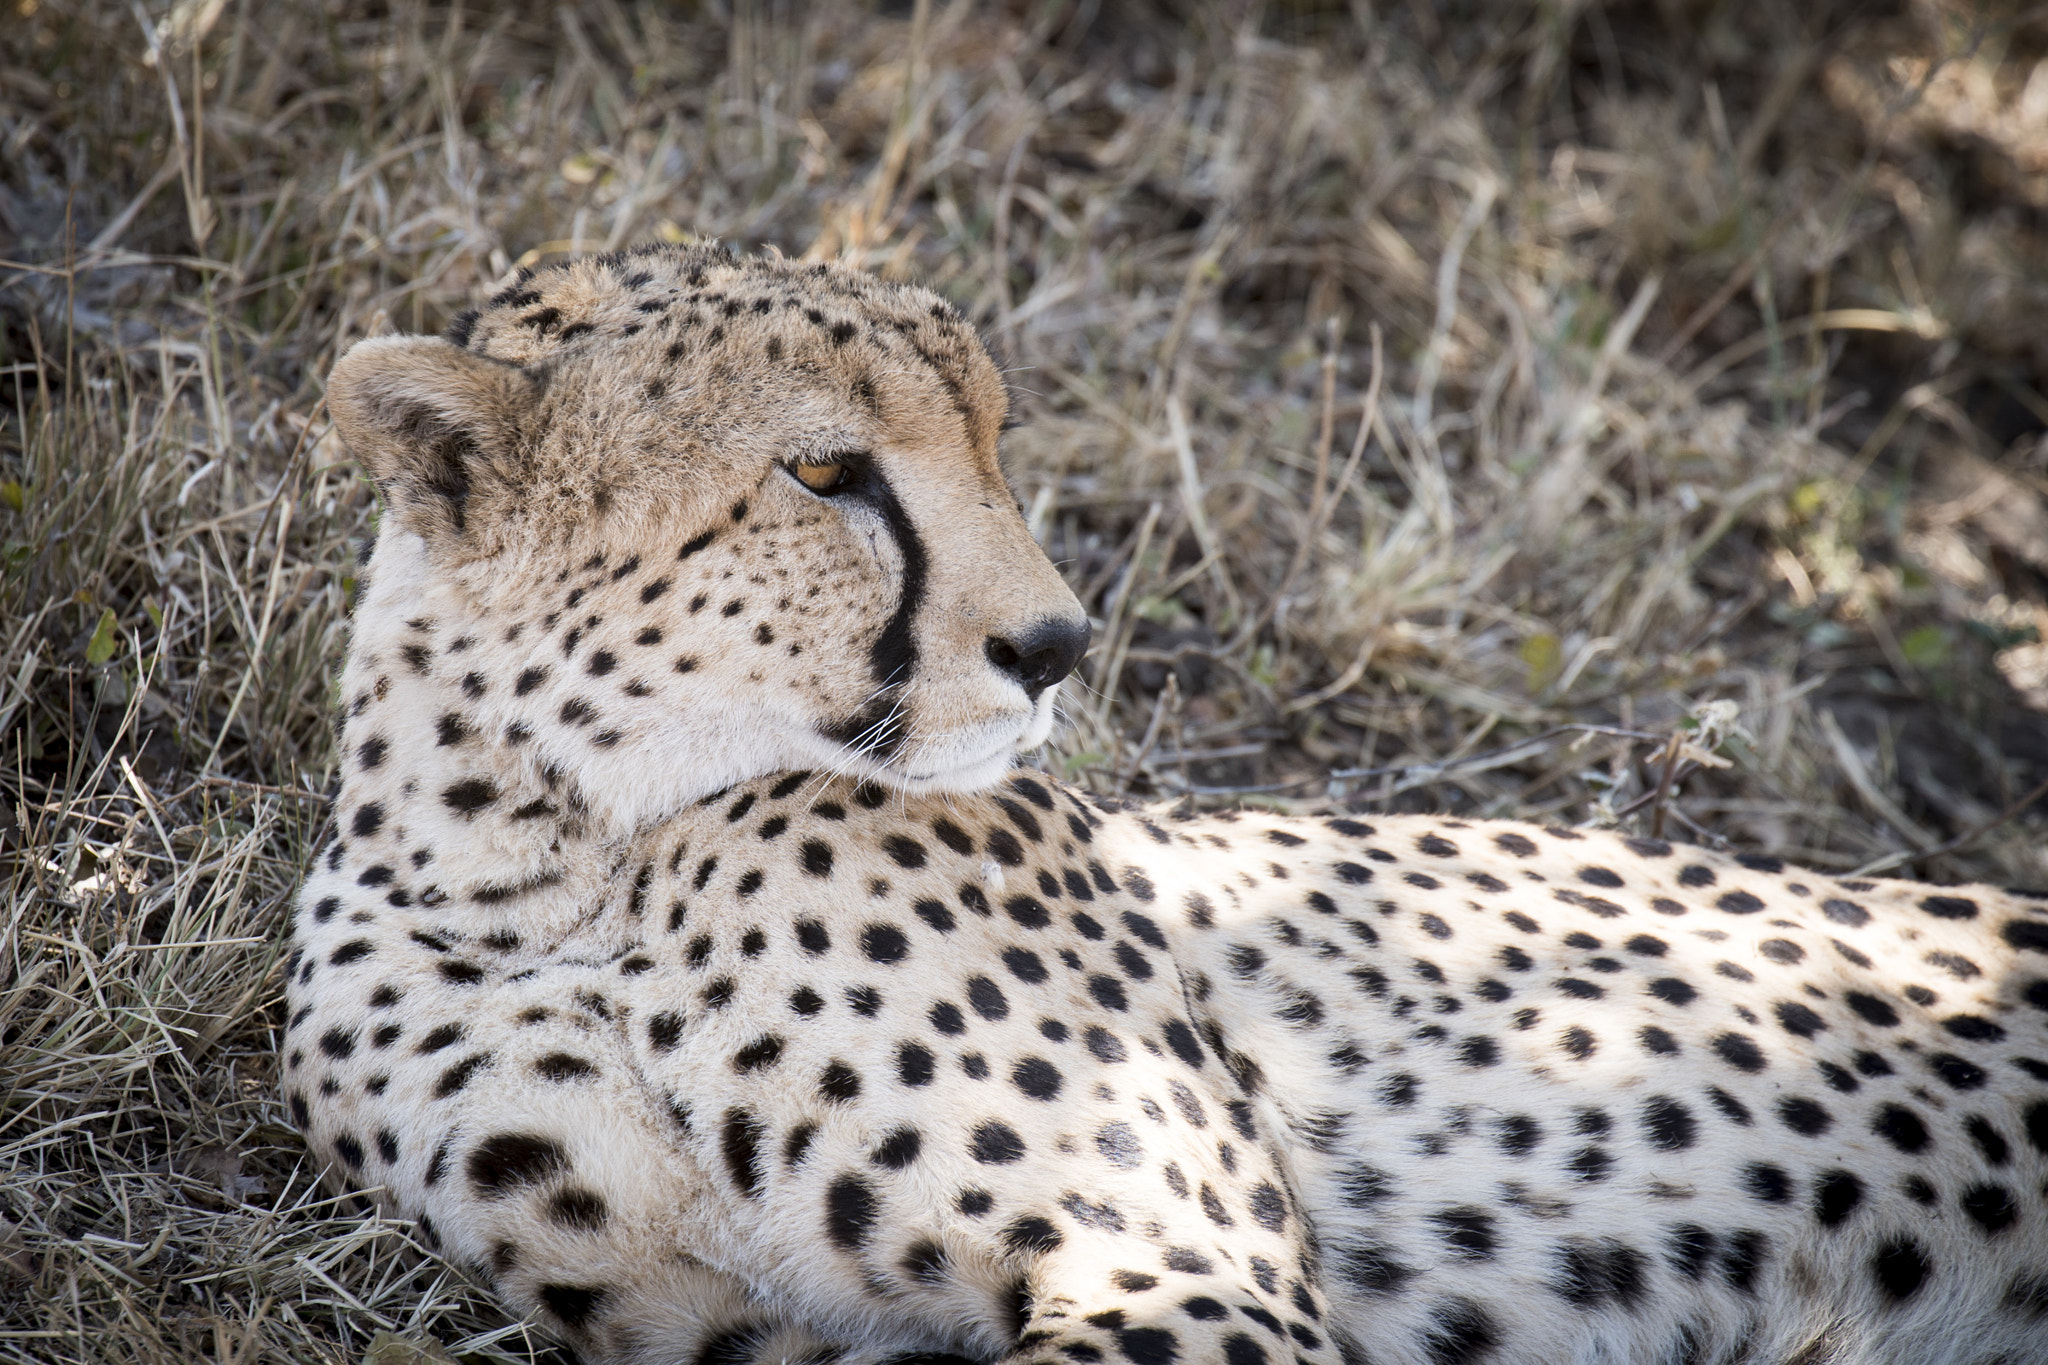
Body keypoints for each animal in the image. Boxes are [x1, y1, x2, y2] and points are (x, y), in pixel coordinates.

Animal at [285, 243, 2048, 1365]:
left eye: (993, 437)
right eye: (825, 473)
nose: (1059, 642)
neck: (562, 850)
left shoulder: (1193, 1274)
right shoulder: (722, 1327)